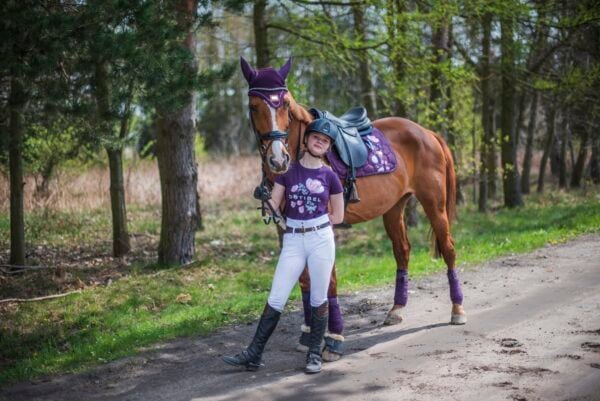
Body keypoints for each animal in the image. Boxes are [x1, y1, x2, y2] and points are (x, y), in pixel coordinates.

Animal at [241, 57, 466, 360]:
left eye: (285, 104)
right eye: (254, 106)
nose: (278, 159)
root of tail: (427, 133)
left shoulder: (326, 227)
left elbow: (329, 281)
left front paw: (333, 337)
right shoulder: (290, 228)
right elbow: (305, 280)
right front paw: (308, 333)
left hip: (435, 204)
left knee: (449, 249)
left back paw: (457, 309)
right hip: (393, 209)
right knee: (402, 251)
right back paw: (396, 309)